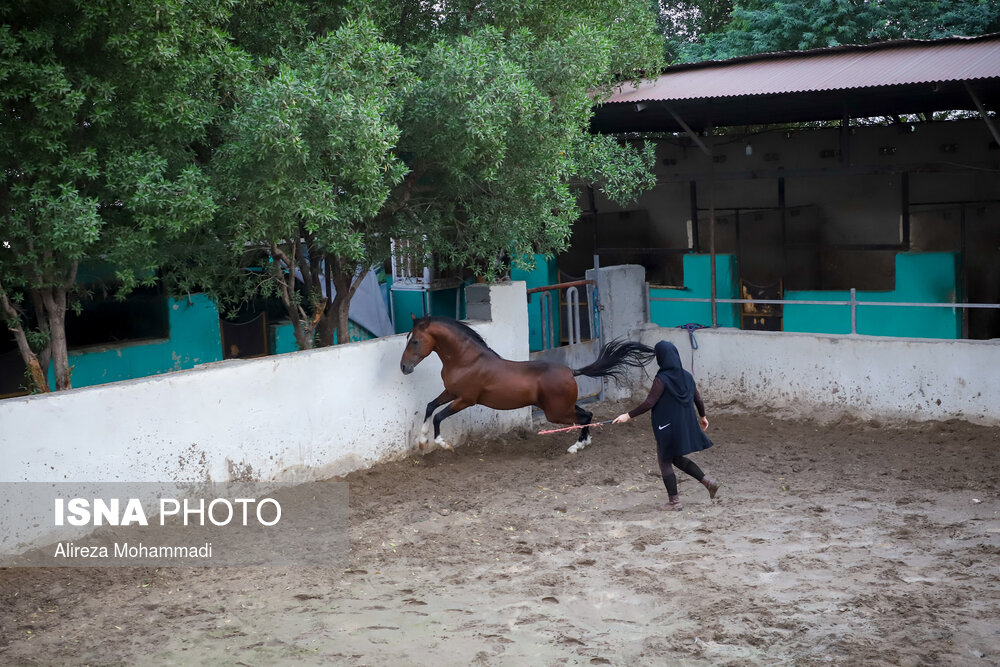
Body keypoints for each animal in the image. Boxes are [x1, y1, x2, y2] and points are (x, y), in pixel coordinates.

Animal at [400, 318, 656, 454]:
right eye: (407, 339)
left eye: (415, 341)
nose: (404, 367)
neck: (466, 360)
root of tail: (570, 371)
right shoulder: (451, 392)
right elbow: (430, 407)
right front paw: (422, 441)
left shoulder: (465, 399)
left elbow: (438, 416)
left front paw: (443, 444)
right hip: (562, 408)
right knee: (588, 414)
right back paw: (585, 442)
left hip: (556, 412)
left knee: (585, 416)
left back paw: (576, 447)